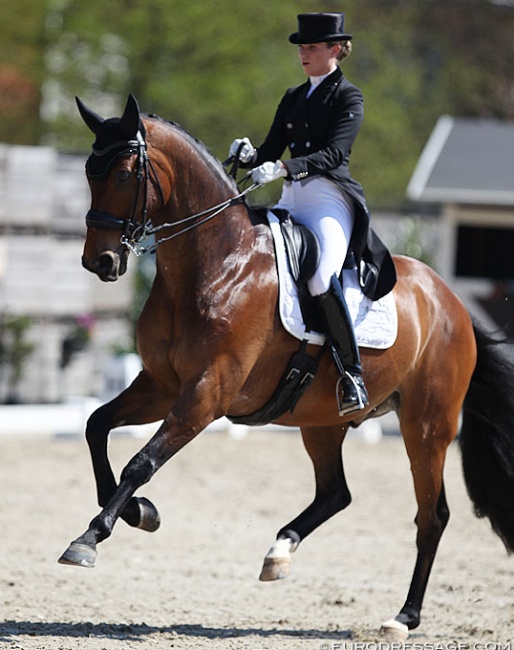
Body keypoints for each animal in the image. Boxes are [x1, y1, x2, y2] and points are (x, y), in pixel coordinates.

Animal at [58, 95, 512, 636]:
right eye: (89, 172)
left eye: (126, 174)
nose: (100, 263)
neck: (216, 264)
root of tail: (451, 302)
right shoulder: (161, 386)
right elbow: (95, 426)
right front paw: (138, 514)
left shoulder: (205, 394)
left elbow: (141, 462)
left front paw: (90, 538)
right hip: (322, 420)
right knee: (336, 494)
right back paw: (279, 553)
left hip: (427, 426)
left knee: (432, 516)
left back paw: (403, 616)